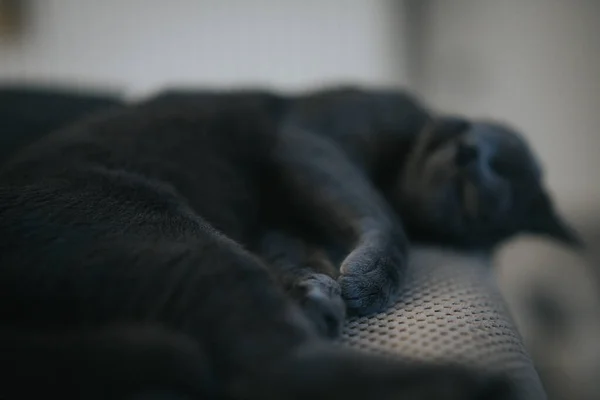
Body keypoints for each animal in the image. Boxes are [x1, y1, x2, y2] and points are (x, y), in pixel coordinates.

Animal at [0, 87, 576, 400]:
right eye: (495, 160)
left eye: (475, 200)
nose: (469, 158)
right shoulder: (309, 143)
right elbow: (382, 214)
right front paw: (364, 280)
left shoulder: (281, 221)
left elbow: (297, 249)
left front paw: (324, 285)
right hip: (164, 228)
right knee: (262, 367)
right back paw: (479, 387)